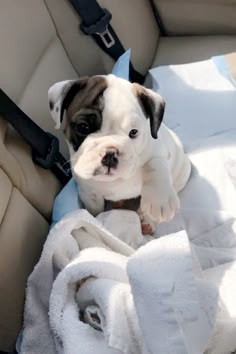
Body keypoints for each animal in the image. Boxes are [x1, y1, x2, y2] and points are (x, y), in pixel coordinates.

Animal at [48, 75, 191, 232]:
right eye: (83, 127)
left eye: (133, 132)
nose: (110, 153)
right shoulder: (90, 195)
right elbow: (95, 212)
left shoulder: (160, 149)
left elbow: (155, 163)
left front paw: (160, 199)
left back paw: (146, 220)